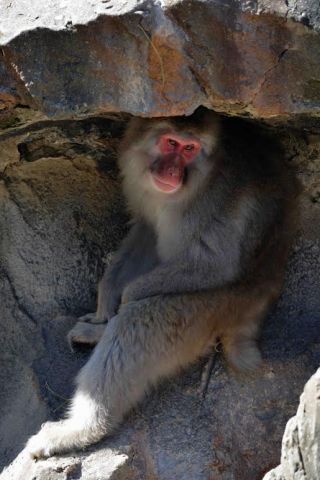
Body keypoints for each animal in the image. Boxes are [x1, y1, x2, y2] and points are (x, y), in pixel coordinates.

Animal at [26, 108, 298, 458]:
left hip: (213, 305)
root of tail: (265, 291)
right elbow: (146, 228)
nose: (171, 171)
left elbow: (214, 264)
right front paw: (106, 301)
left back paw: (82, 429)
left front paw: (127, 298)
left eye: (189, 149)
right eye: (171, 142)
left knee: (138, 325)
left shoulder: (214, 199)